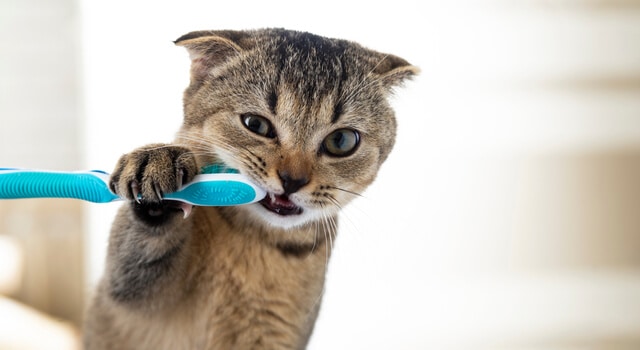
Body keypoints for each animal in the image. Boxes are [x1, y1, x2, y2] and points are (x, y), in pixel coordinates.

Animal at [82, 28, 418, 348]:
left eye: (342, 141)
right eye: (255, 124)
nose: (292, 179)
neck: (254, 239)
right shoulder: (127, 291)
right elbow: (137, 260)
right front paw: (158, 163)